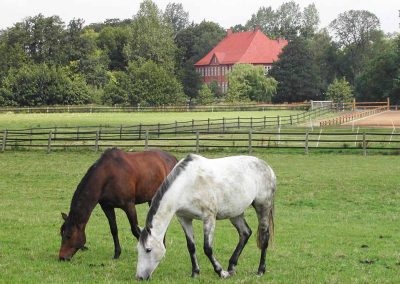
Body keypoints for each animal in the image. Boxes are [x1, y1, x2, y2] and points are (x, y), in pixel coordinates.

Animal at [134, 153, 276, 280]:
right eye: (138, 249)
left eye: (148, 249)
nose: (140, 277)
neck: (186, 185)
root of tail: (268, 167)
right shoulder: (184, 218)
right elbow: (191, 246)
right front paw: (195, 273)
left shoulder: (209, 217)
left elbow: (207, 248)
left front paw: (221, 272)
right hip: (235, 213)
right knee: (245, 233)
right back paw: (231, 267)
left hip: (263, 206)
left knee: (264, 236)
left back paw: (260, 270)